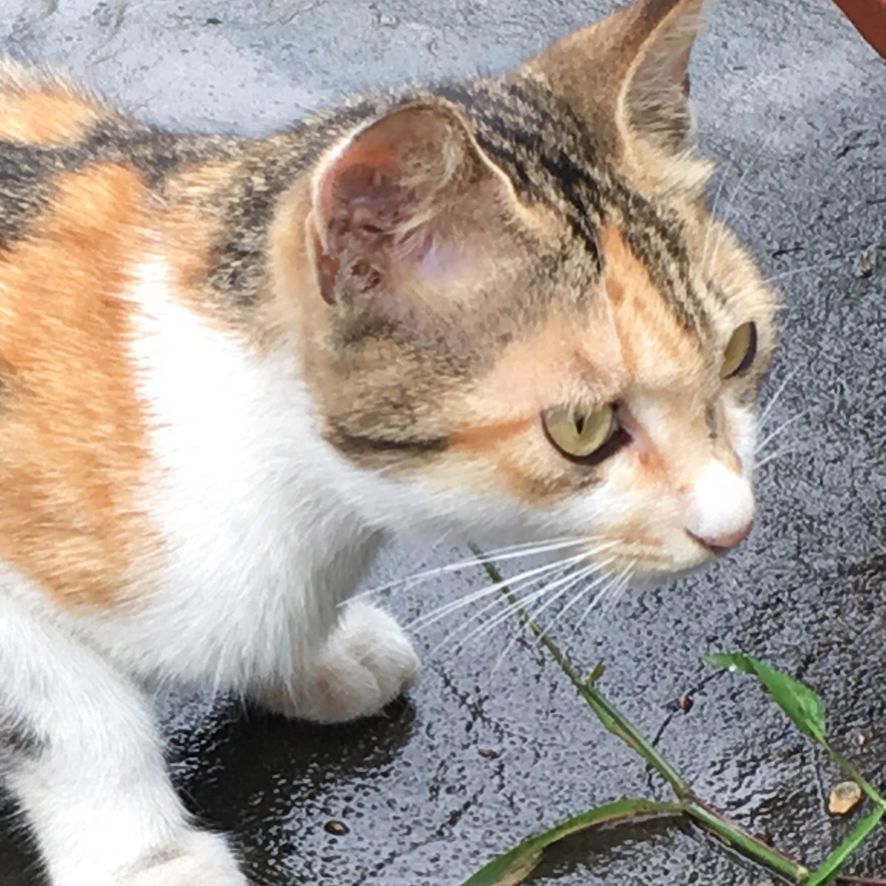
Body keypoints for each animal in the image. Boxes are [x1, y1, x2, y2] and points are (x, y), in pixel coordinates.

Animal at [0, 0, 777, 883]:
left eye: (740, 349)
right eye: (581, 428)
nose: (734, 524)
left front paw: (313, 659)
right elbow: (76, 714)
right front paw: (146, 857)